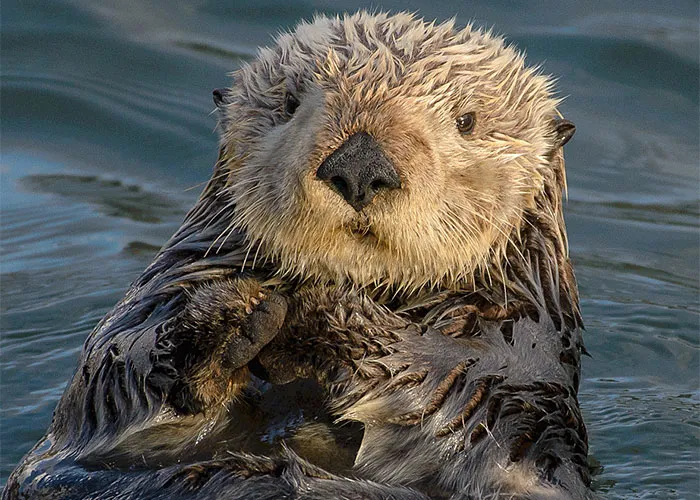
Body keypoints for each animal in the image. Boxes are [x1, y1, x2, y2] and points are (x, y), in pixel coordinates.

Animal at [4, 11, 593, 500]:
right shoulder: (143, 317)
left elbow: (462, 391)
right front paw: (230, 315)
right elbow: (110, 373)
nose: (359, 164)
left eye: (467, 121)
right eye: (289, 104)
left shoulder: (519, 368)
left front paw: (318, 317)